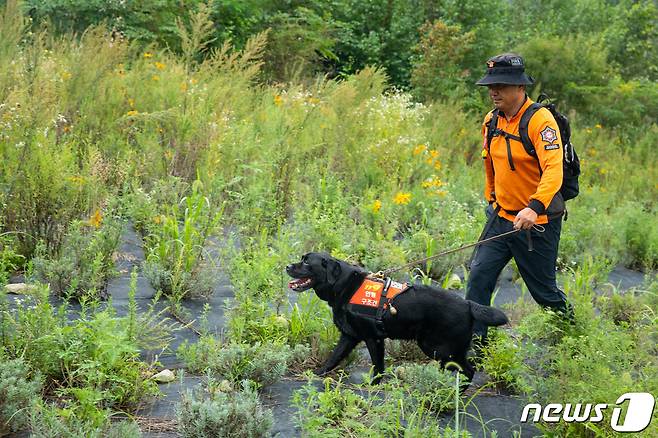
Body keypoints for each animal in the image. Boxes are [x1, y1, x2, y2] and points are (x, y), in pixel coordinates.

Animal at [284, 252, 508, 382]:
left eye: (306, 263)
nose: (287, 266)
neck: (346, 286)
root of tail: (468, 304)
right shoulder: (349, 336)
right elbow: (333, 357)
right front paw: (317, 374)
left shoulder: (373, 339)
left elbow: (378, 366)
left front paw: (373, 386)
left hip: (440, 347)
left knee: (468, 370)